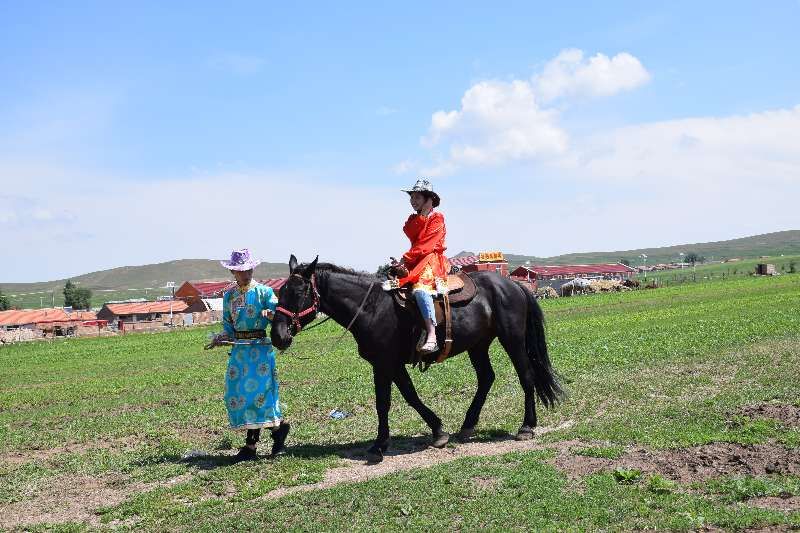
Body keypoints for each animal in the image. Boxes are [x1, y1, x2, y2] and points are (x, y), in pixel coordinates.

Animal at [272, 255, 564, 462]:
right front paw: (438, 431)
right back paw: (468, 425)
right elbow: (410, 396)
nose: (277, 335)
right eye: (280, 292)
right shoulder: (392, 364)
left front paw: (379, 445)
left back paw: (526, 426)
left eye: (298, 293)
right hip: (478, 345)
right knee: (486, 378)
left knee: (526, 376)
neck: (372, 308)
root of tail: (513, 284)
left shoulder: (384, 364)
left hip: (512, 340)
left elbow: (383, 402)